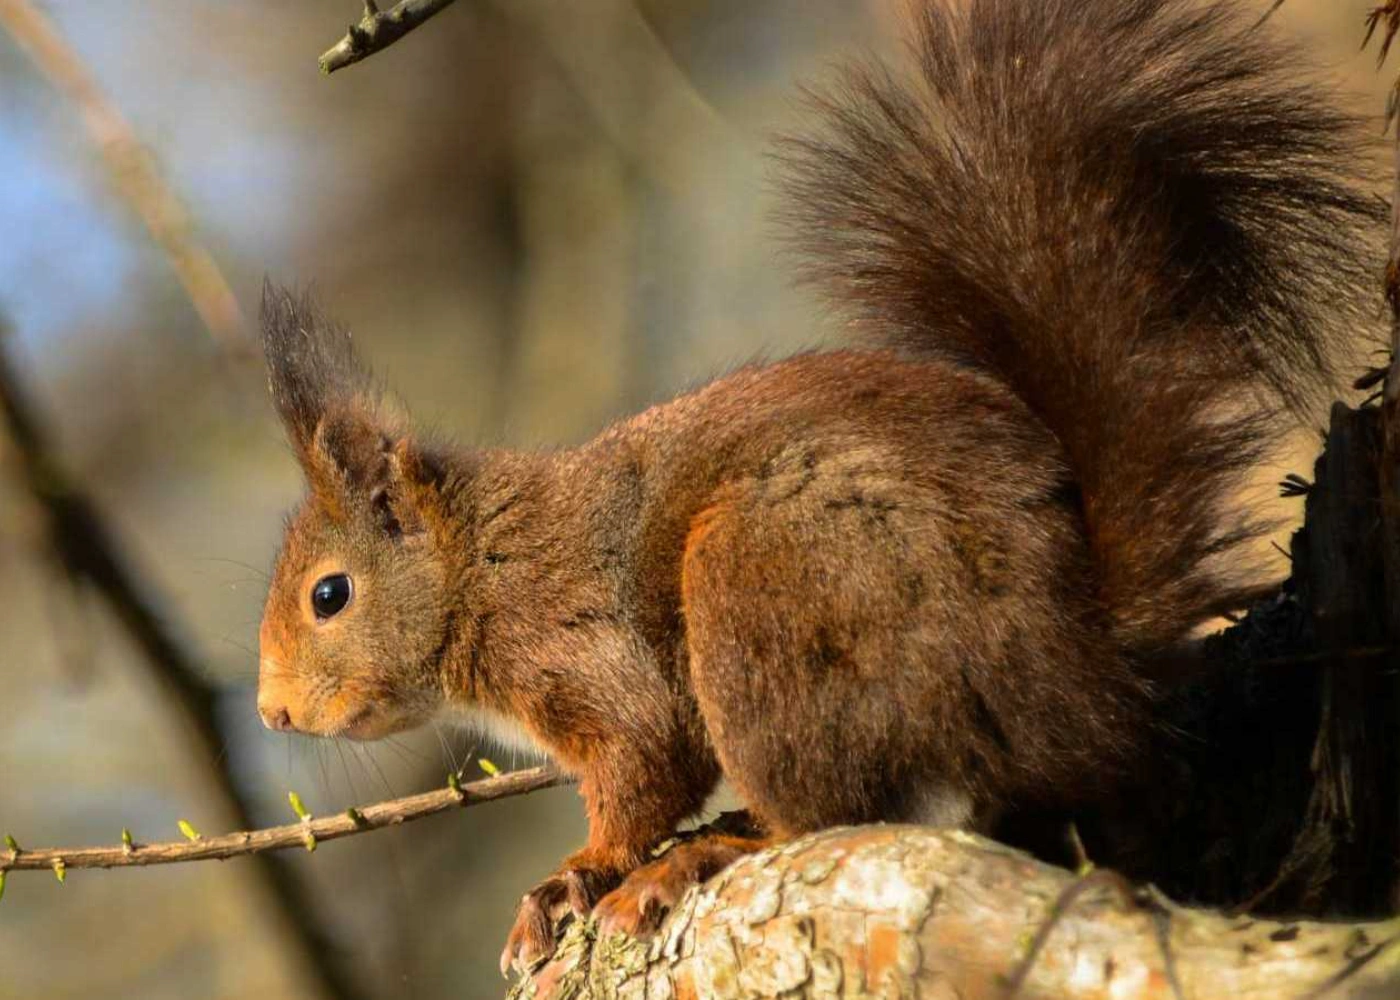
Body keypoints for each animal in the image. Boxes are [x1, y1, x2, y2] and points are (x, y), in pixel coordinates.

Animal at [255, 0, 1382, 975]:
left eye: (328, 595)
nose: (271, 715)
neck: (478, 564)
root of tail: (1076, 672)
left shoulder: (579, 643)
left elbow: (643, 758)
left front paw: (581, 870)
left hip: (766, 587)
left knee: (826, 809)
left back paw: (707, 855)